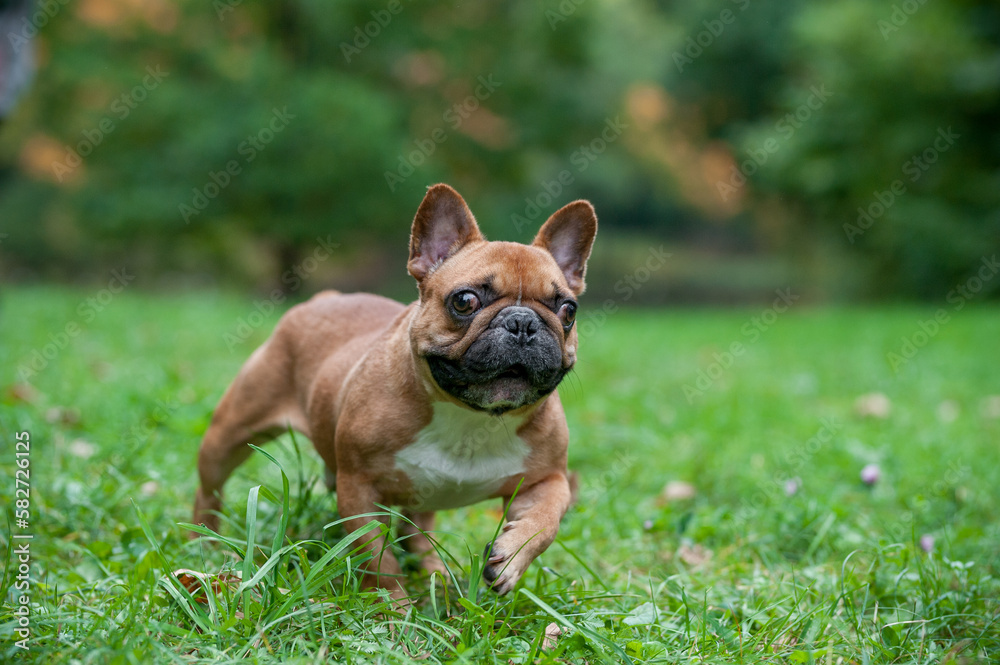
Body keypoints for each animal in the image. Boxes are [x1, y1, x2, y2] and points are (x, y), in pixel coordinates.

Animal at [193, 184, 592, 600]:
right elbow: (379, 559)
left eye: (568, 310)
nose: (523, 323)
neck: (469, 416)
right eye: (465, 301)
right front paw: (394, 607)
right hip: (231, 433)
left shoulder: (549, 479)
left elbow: (545, 522)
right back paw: (206, 545)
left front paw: (511, 559)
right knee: (209, 488)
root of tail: (324, 298)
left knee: (418, 529)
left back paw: (436, 573)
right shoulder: (359, 489)